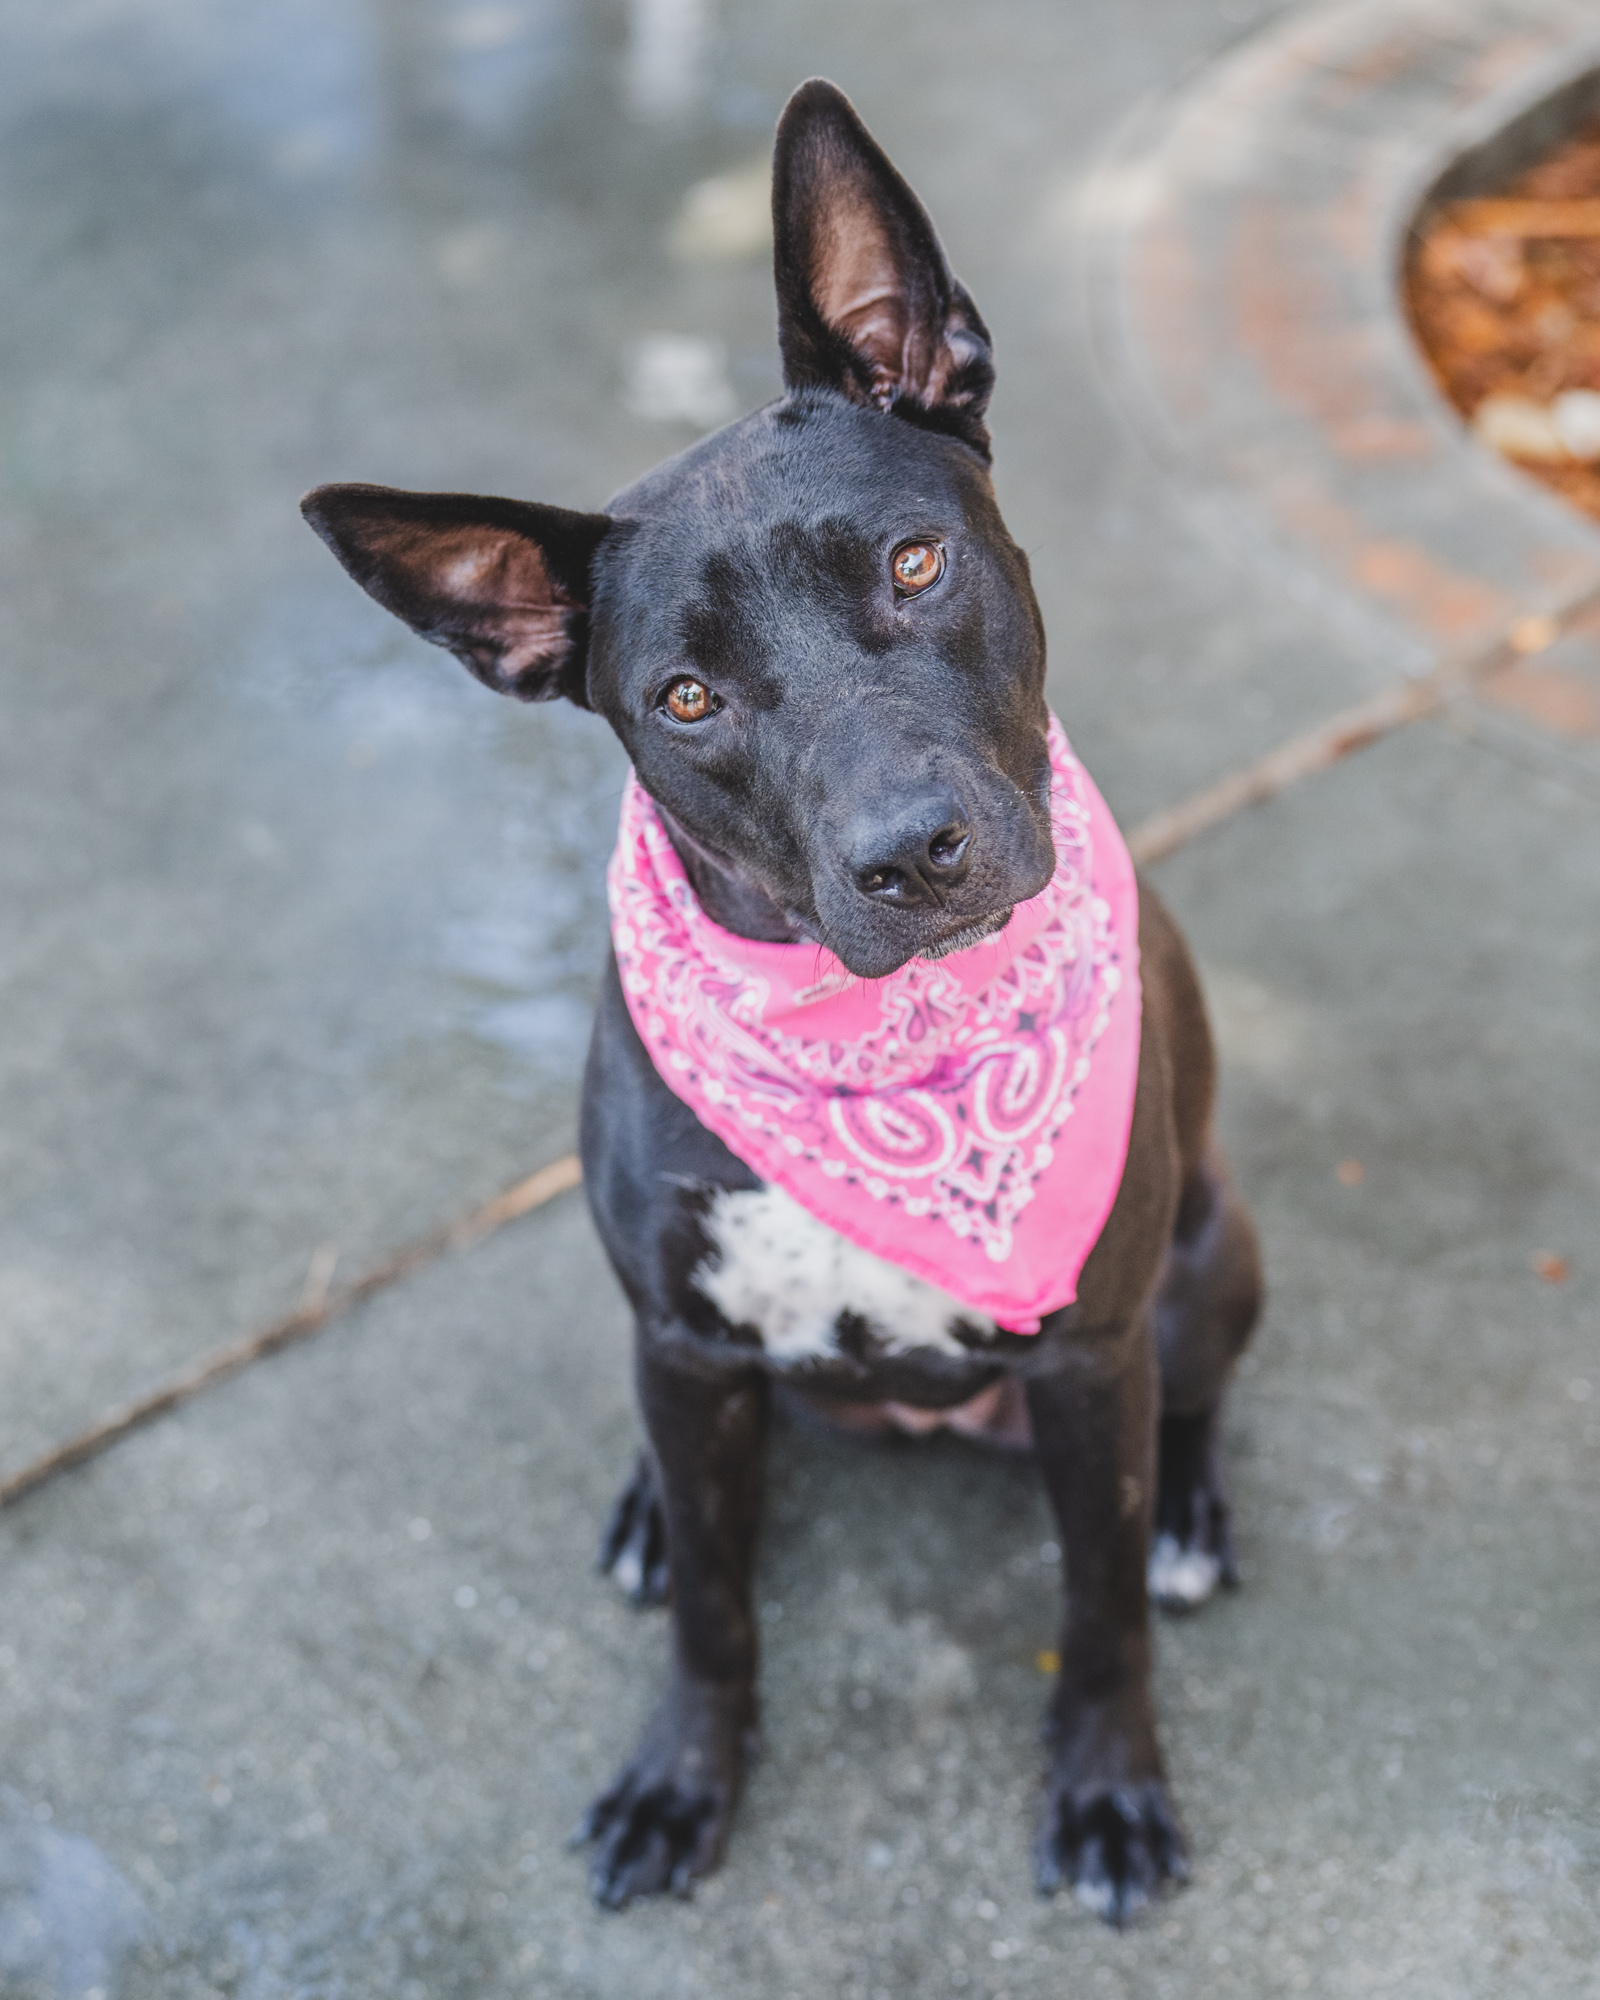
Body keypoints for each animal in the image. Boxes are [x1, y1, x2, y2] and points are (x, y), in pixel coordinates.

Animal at [304, 82, 1264, 1920]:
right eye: (686, 698)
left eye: (916, 562)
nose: (915, 853)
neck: (867, 1050)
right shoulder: (687, 1350)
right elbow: (715, 1613)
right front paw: (682, 1778)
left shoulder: (1088, 1356)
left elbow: (1098, 1609)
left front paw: (1111, 1791)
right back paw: (648, 1514)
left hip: (1205, 1267)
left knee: (1186, 1421)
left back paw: (1189, 1517)